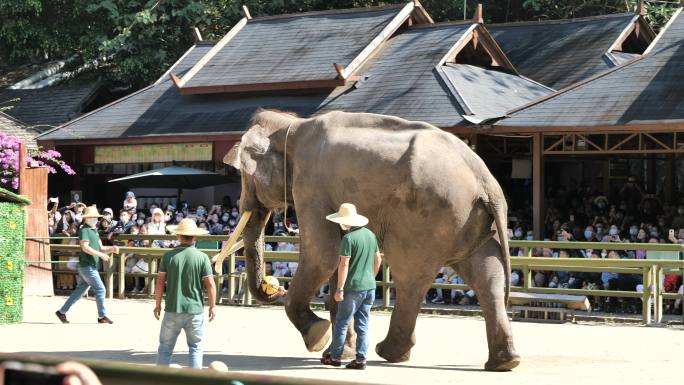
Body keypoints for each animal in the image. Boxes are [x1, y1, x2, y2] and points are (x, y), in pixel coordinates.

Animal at [223, 107, 520, 368]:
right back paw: (504, 362)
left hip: (427, 218)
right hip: (475, 221)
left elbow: (323, 254)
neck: (292, 126)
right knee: (488, 275)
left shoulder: (310, 185)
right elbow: (338, 259)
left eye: (244, 177)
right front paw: (337, 352)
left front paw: (318, 337)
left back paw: (389, 352)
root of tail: (486, 180)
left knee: (410, 276)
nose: (274, 287)